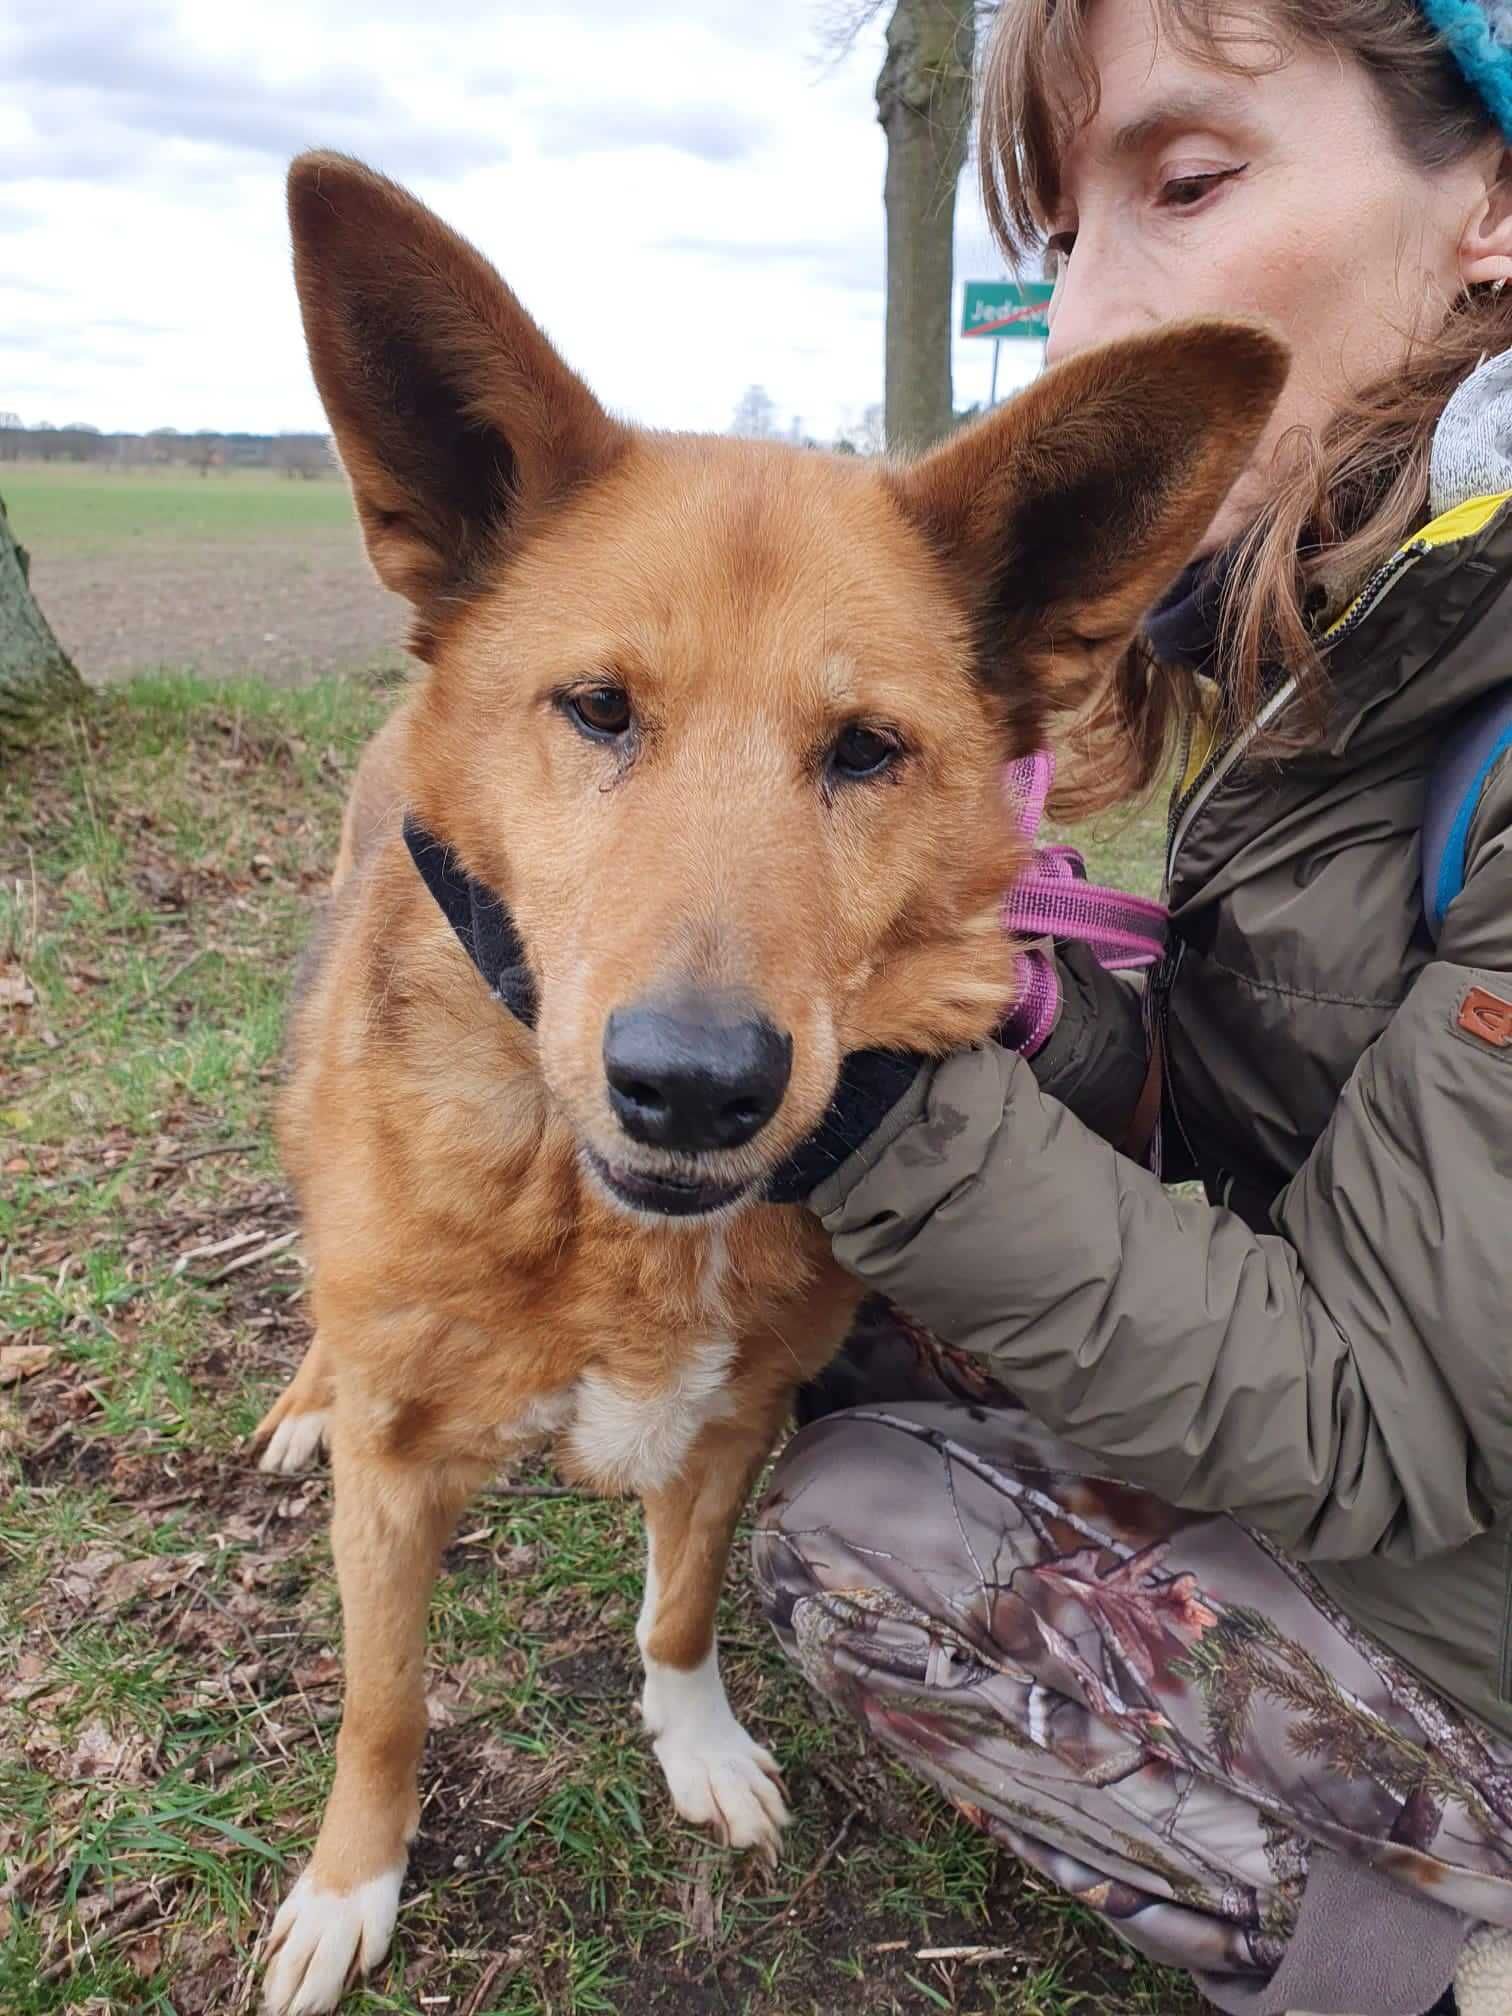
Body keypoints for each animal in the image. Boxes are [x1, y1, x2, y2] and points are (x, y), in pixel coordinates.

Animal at [255, 149, 1282, 2007]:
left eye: (865, 750)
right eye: (596, 709)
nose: (694, 1085)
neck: (607, 1234)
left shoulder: (738, 1419)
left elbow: (677, 1610)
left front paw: (699, 1742)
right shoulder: (402, 1470)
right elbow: (380, 1703)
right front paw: (351, 1884)